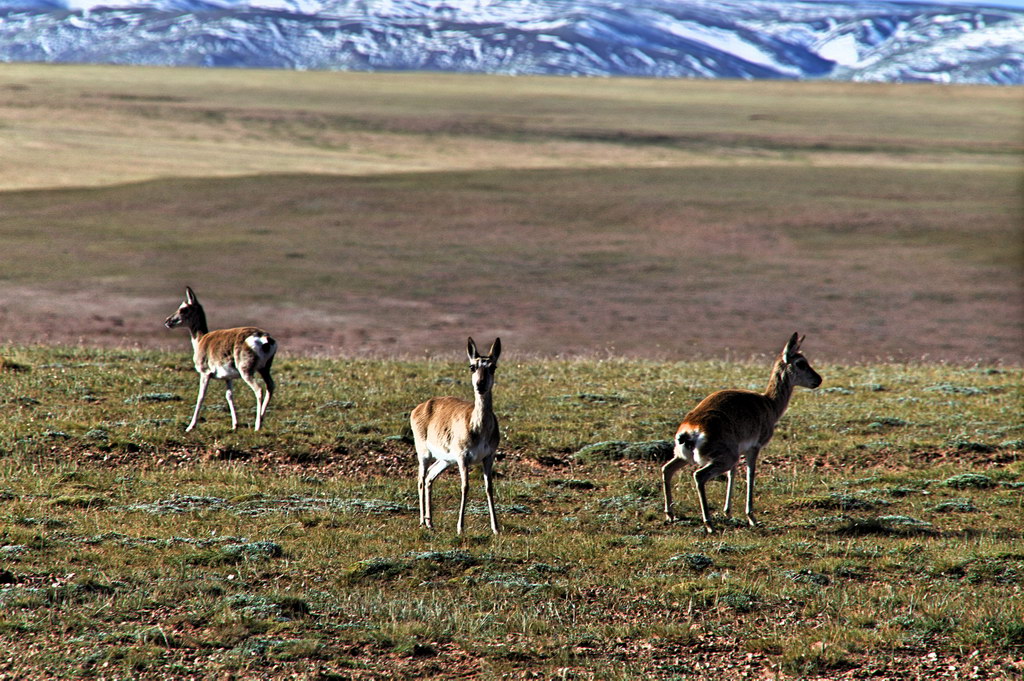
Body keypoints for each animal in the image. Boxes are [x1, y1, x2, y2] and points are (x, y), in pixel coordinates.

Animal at [163, 284, 276, 430]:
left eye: (183, 309)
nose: (167, 321)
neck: (202, 340)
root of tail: (264, 337)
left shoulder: (205, 374)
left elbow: (201, 396)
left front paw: (190, 427)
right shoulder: (228, 378)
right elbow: (229, 396)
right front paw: (235, 425)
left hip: (247, 372)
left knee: (259, 390)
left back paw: (257, 426)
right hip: (264, 370)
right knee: (270, 387)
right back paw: (261, 419)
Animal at [409, 337, 501, 532]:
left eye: (493, 366)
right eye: (472, 366)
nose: (480, 385)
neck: (478, 428)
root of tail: (421, 406)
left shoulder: (488, 457)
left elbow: (489, 487)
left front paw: (496, 528)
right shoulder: (462, 458)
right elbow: (465, 486)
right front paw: (460, 527)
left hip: (445, 460)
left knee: (430, 477)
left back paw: (430, 522)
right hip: (424, 454)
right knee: (421, 479)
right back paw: (422, 522)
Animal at [663, 331, 823, 532]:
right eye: (801, 362)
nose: (818, 380)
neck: (768, 404)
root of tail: (690, 429)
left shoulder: (739, 451)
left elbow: (732, 474)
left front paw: (728, 512)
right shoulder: (753, 448)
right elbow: (750, 473)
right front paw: (752, 517)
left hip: (683, 457)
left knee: (666, 469)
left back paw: (670, 515)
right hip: (721, 459)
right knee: (698, 476)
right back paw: (709, 524)